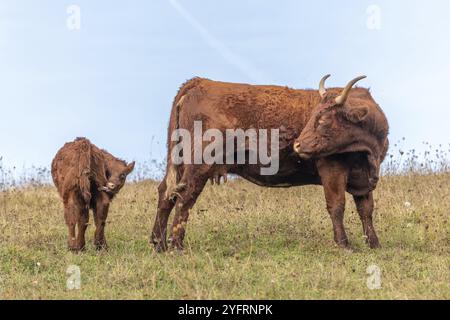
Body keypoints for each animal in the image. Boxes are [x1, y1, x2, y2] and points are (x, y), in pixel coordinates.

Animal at [150, 75, 386, 252]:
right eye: (313, 116)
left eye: (324, 120)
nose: (298, 144)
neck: (369, 152)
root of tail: (200, 82)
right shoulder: (332, 169)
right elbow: (337, 205)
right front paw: (344, 245)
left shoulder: (363, 179)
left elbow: (366, 209)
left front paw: (374, 244)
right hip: (199, 165)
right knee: (185, 195)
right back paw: (176, 246)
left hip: (180, 162)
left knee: (166, 193)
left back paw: (159, 244)